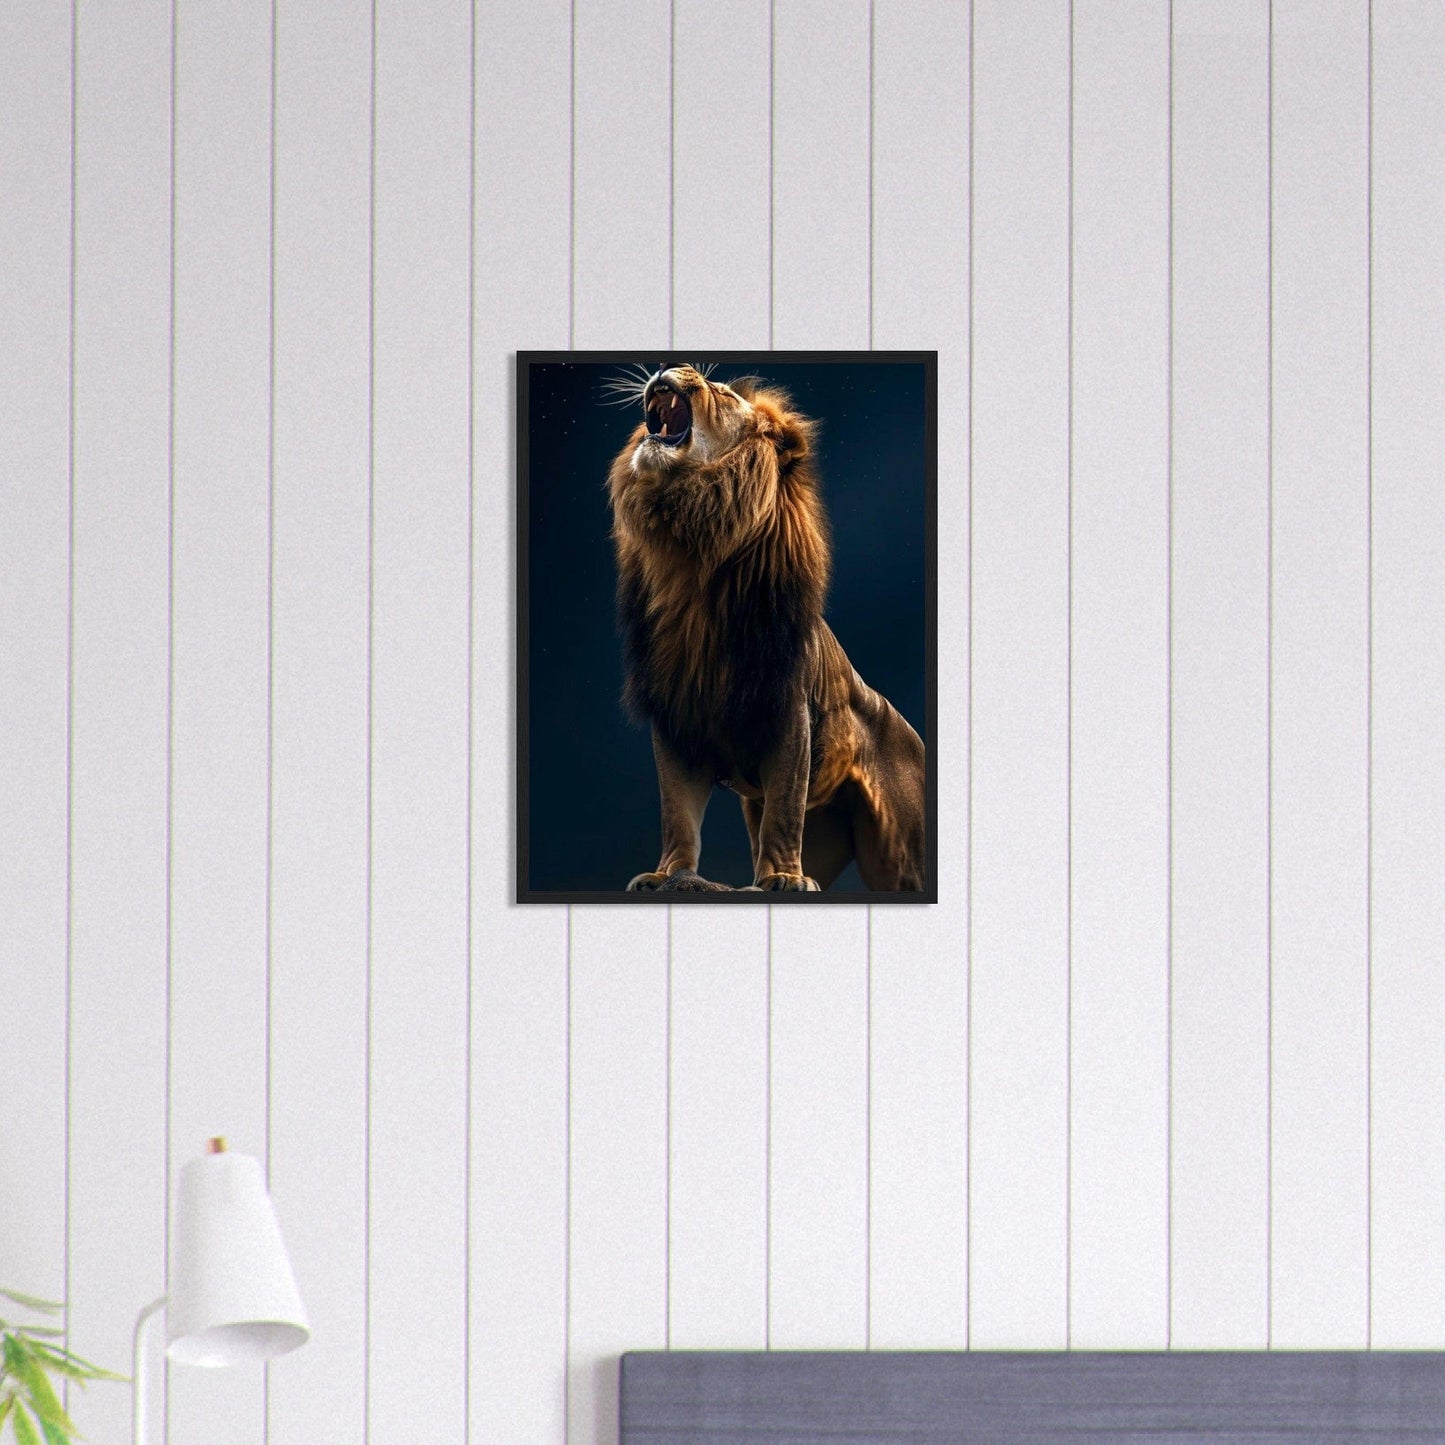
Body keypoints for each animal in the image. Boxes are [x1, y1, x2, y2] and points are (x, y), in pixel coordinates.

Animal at [607, 363, 926, 894]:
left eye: (722, 392)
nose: (678, 366)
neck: (689, 553)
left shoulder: (788, 712)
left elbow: (784, 807)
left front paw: (783, 878)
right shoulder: (675, 716)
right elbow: (677, 812)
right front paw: (667, 873)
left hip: (904, 858)